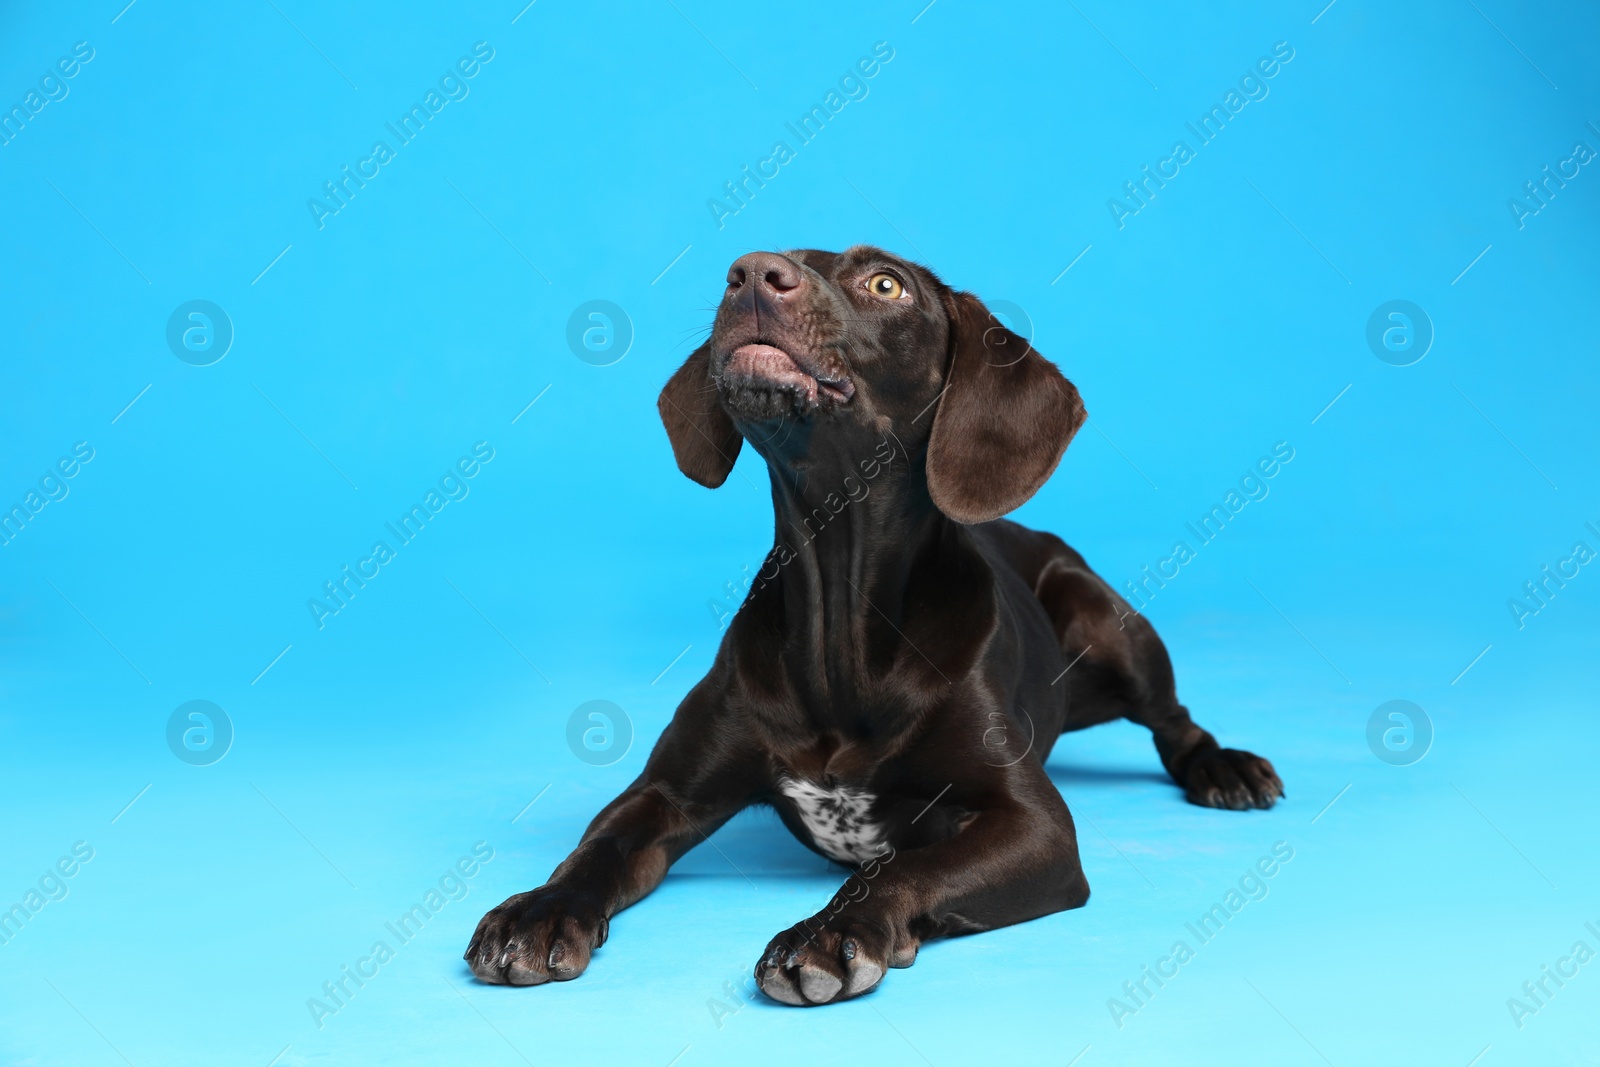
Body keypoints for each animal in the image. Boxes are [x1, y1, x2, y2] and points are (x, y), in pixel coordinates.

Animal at [467, 246, 1286, 1004]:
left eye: (886, 284)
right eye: (758, 263)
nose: (750, 273)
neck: (840, 615)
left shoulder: (1033, 824)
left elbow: (908, 864)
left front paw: (831, 932)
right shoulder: (665, 792)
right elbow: (597, 847)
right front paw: (538, 911)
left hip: (1103, 618)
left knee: (1174, 719)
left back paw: (1225, 767)